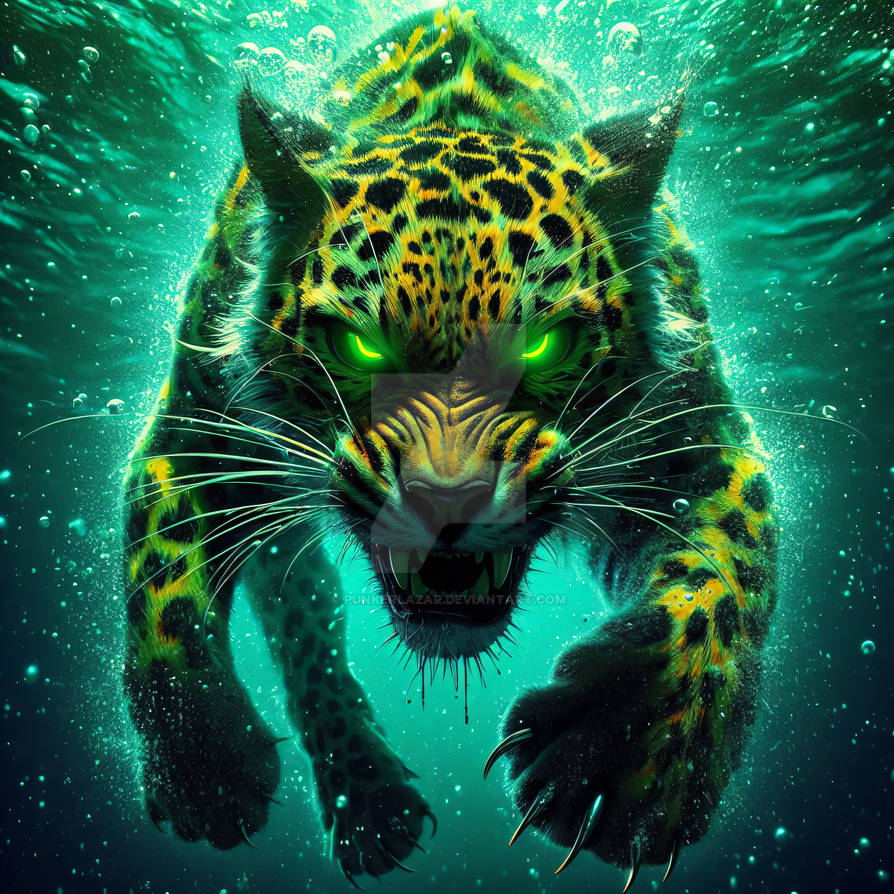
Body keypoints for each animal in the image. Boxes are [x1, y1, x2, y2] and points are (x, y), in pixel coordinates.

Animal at [121, 6, 777, 888]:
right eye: (357, 346)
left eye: (545, 345)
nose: (447, 505)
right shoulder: (194, 430)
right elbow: (160, 579)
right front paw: (202, 761)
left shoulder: (703, 442)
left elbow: (727, 577)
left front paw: (621, 760)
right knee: (307, 621)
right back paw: (369, 802)